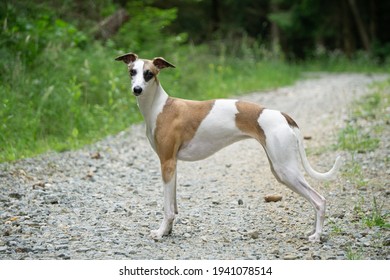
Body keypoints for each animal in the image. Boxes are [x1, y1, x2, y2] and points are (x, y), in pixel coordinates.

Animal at [115, 53, 342, 243]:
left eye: (149, 74)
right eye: (132, 71)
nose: (137, 90)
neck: (160, 107)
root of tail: (282, 115)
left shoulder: (166, 163)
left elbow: (167, 208)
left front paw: (161, 232)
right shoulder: (173, 165)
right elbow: (174, 205)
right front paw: (169, 231)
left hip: (285, 170)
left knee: (319, 200)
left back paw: (317, 236)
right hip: (279, 168)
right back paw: (313, 231)